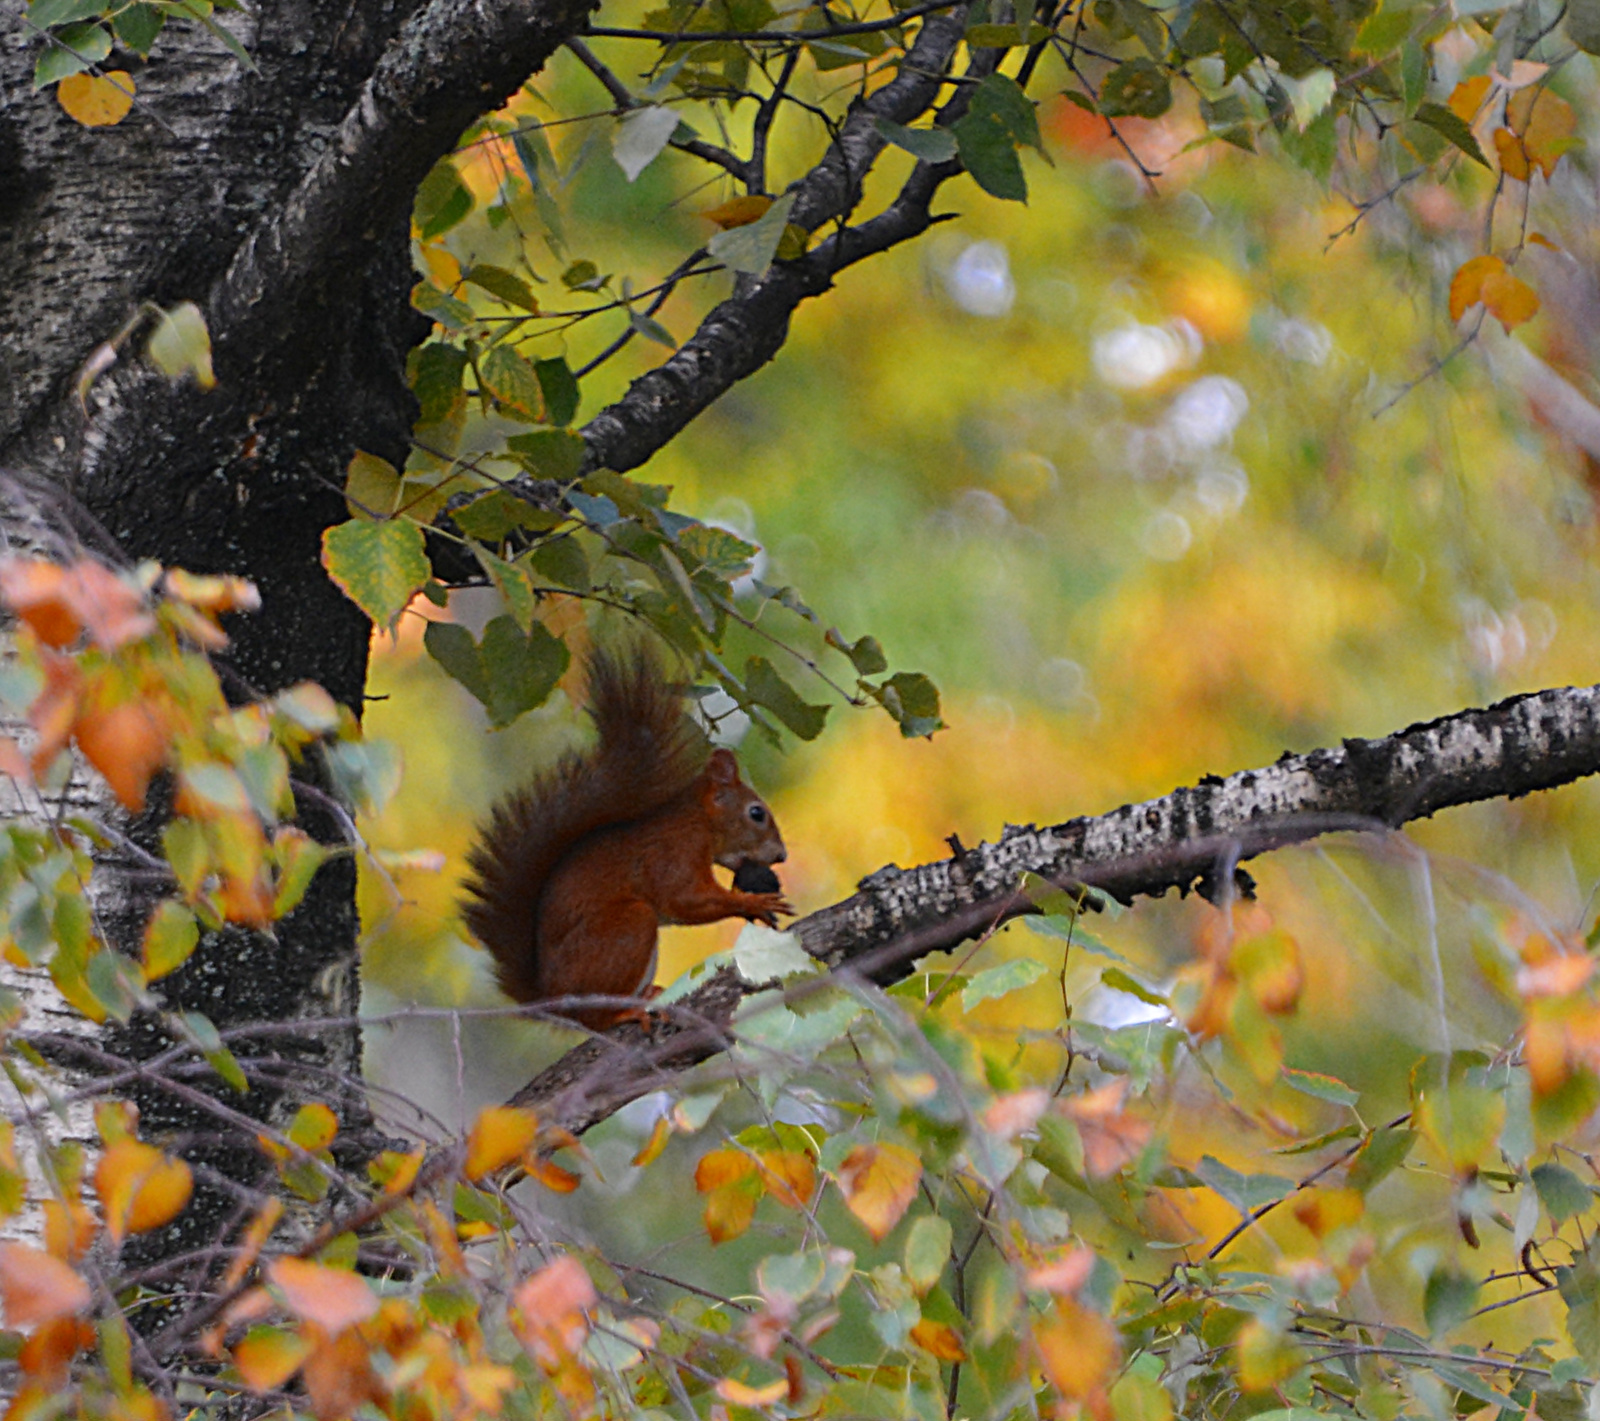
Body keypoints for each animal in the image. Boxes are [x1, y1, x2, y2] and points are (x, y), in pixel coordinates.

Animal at [460, 646, 790, 1030]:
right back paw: (624, 1011)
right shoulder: (673, 852)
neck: (699, 821)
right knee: (595, 1019)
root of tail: (554, 1001)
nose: (781, 856)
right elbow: (684, 899)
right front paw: (753, 903)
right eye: (756, 813)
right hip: (626, 928)